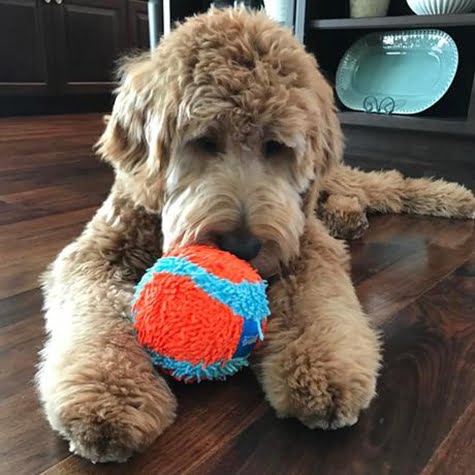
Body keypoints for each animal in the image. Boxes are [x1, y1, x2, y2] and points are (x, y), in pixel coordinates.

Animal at [37, 5, 475, 462]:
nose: (241, 247)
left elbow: (313, 303)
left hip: (328, 185)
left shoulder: (307, 246)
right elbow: (100, 317)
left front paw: (323, 370)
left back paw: (453, 197)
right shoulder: (95, 253)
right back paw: (348, 215)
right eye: (204, 140)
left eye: (275, 146)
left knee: (386, 183)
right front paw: (110, 396)